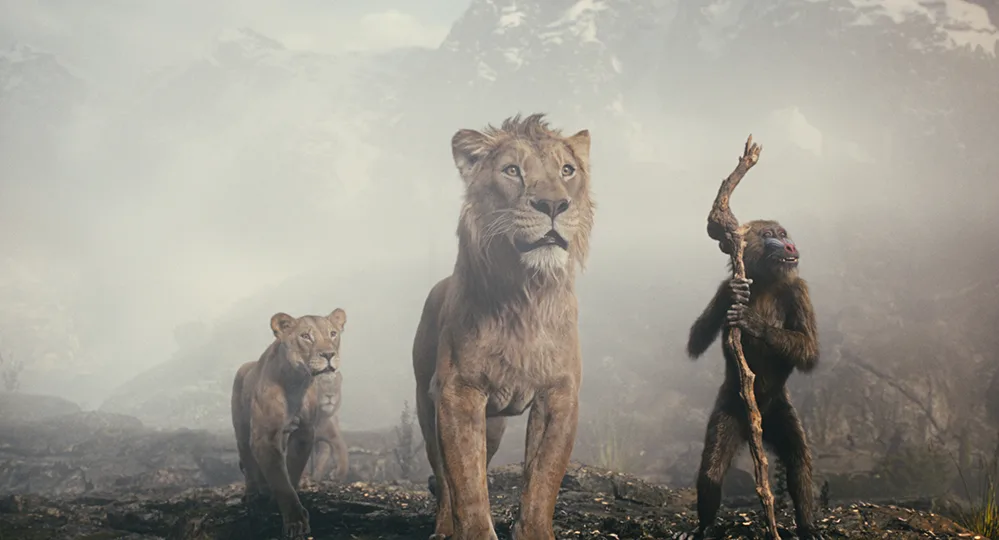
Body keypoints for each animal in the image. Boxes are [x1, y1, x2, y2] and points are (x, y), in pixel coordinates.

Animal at [230, 308, 347, 539]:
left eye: (333, 333)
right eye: (306, 336)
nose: (328, 355)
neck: (297, 382)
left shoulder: (304, 434)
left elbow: (291, 472)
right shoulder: (264, 437)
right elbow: (280, 481)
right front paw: (295, 522)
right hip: (241, 429)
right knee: (248, 460)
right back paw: (253, 494)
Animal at [412, 113, 595, 540]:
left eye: (567, 170)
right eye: (512, 171)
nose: (553, 204)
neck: (526, 294)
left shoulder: (560, 395)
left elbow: (543, 479)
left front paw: (534, 531)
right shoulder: (458, 393)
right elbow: (466, 483)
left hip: (493, 424)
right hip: (427, 404)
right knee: (443, 477)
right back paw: (443, 528)